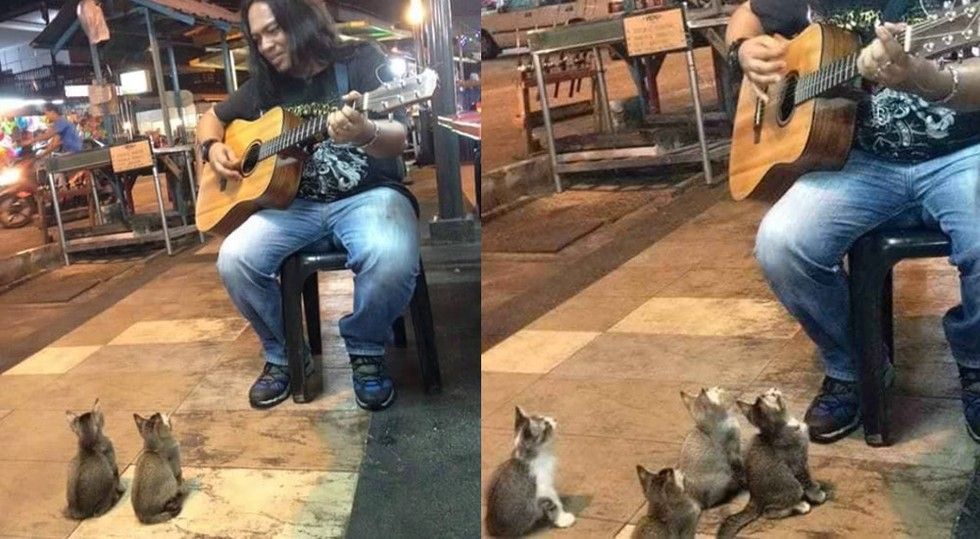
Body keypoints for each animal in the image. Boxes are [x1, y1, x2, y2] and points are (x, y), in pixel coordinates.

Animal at [716, 390, 824, 536]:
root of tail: (754, 497)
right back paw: (800, 506)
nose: (774, 389)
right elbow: (806, 480)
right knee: (768, 512)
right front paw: (816, 494)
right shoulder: (797, 462)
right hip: (793, 486)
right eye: (769, 395)